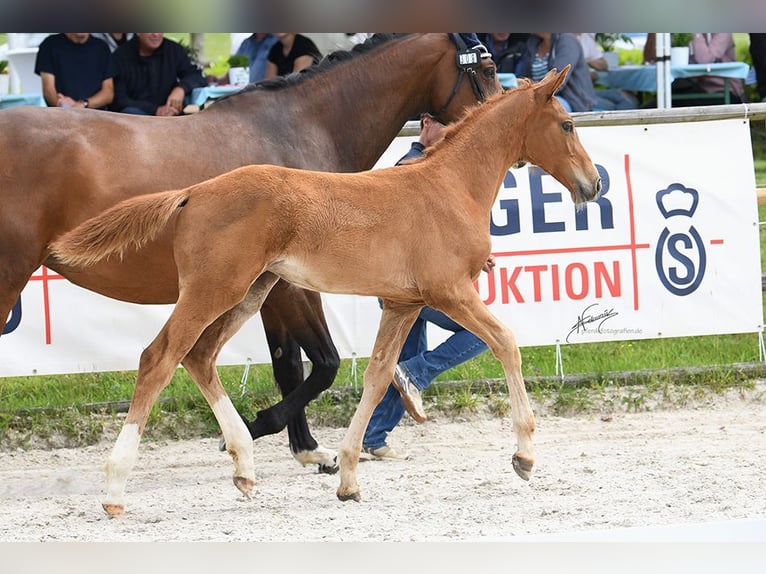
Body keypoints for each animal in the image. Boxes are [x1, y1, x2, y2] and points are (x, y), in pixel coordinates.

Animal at [0, 34, 501, 474]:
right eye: (489, 69)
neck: (299, 131)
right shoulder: (294, 288)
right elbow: (324, 364)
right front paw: (257, 429)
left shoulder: (272, 287)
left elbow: (289, 365)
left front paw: (306, 448)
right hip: (12, 273)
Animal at [50, 66, 602, 514]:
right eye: (567, 125)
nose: (594, 184)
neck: (449, 187)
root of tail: (195, 192)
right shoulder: (450, 292)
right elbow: (506, 342)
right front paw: (524, 456)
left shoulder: (403, 304)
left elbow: (379, 377)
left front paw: (349, 477)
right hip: (215, 290)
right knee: (159, 357)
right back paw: (115, 489)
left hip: (251, 292)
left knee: (200, 355)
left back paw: (244, 467)